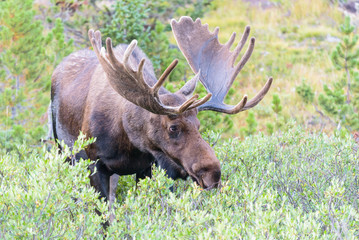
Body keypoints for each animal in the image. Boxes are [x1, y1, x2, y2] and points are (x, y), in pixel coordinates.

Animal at [49, 15, 272, 202]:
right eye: (173, 127)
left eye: (199, 125)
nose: (213, 174)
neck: (127, 140)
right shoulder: (94, 164)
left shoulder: (148, 167)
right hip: (62, 149)